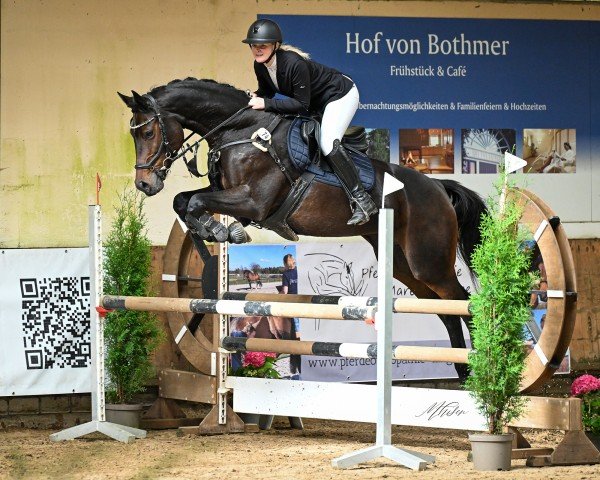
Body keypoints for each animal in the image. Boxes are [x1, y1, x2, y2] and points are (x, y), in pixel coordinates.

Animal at [118, 78, 488, 378]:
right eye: (133, 134)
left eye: (148, 132)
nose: (144, 184)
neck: (240, 133)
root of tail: (438, 187)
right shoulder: (229, 195)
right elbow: (183, 200)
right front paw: (217, 231)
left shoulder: (253, 201)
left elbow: (194, 202)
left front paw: (223, 232)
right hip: (404, 265)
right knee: (445, 310)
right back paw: (461, 370)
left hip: (428, 261)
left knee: (463, 302)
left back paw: (477, 369)